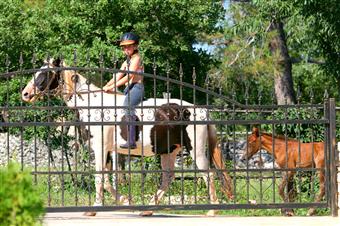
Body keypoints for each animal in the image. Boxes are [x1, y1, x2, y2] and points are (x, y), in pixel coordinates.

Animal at [21, 57, 234, 215]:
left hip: (195, 149)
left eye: (46, 73)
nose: (25, 94)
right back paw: (147, 209)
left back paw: (212, 211)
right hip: (169, 151)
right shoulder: (106, 151)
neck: (93, 106)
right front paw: (124, 200)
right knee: (168, 177)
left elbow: (100, 177)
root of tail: (200, 110)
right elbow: (106, 180)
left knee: (208, 174)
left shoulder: (100, 149)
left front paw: (95, 208)